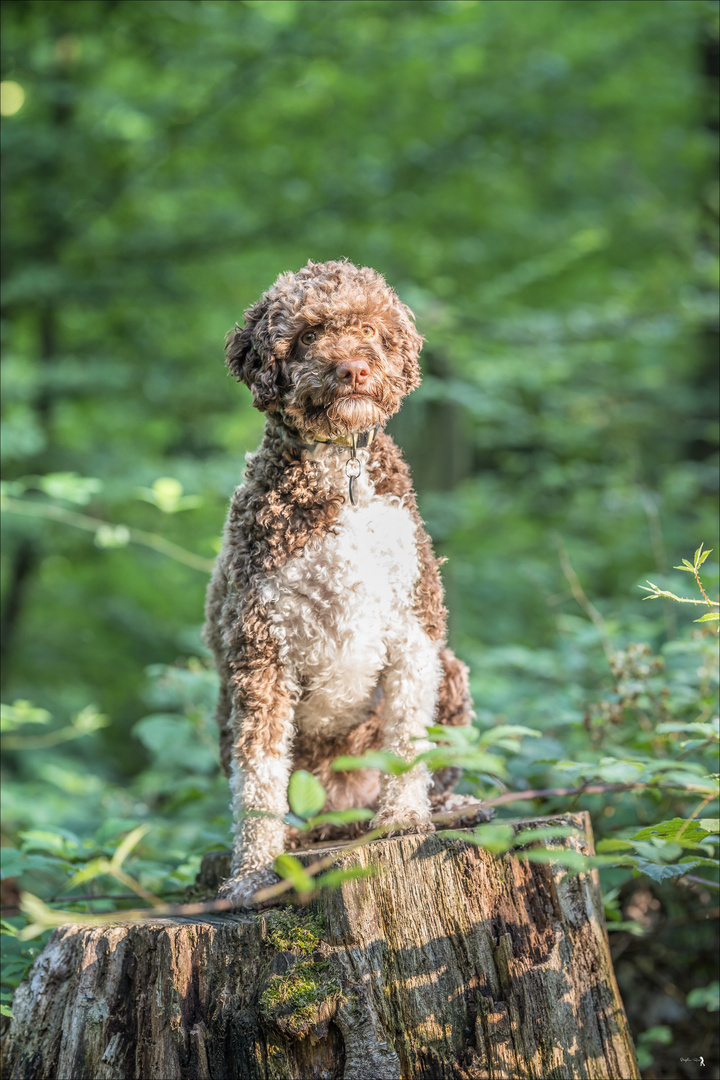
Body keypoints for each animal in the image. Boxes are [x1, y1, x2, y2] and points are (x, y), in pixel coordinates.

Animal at [202, 259, 481, 902]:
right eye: (307, 334)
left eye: (371, 330)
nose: (352, 368)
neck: (338, 470)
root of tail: (343, 813)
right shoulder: (261, 656)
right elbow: (259, 779)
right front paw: (252, 873)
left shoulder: (414, 632)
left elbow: (406, 740)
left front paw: (403, 819)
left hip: (452, 673)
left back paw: (441, 808)